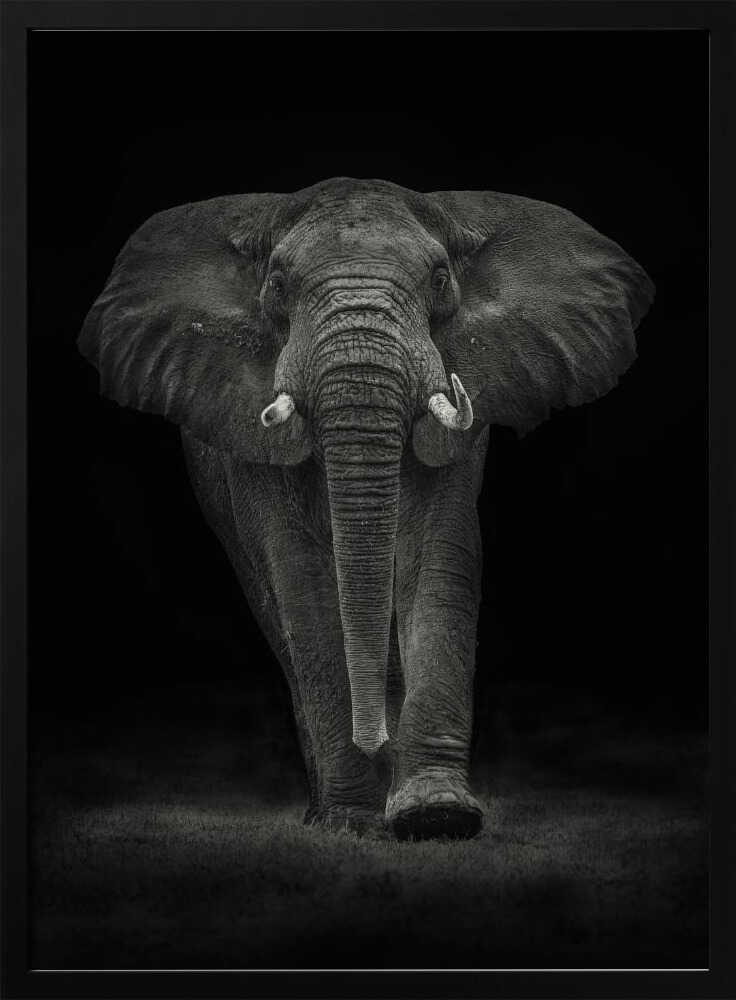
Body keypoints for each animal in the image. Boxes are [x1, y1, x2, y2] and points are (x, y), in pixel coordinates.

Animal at [78, 177, 654, 840]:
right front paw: (352, 823)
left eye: (439, 278)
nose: (373, 738)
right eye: (277, 283)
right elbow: (300, 579)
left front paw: (436, 816)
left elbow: (438, 557)